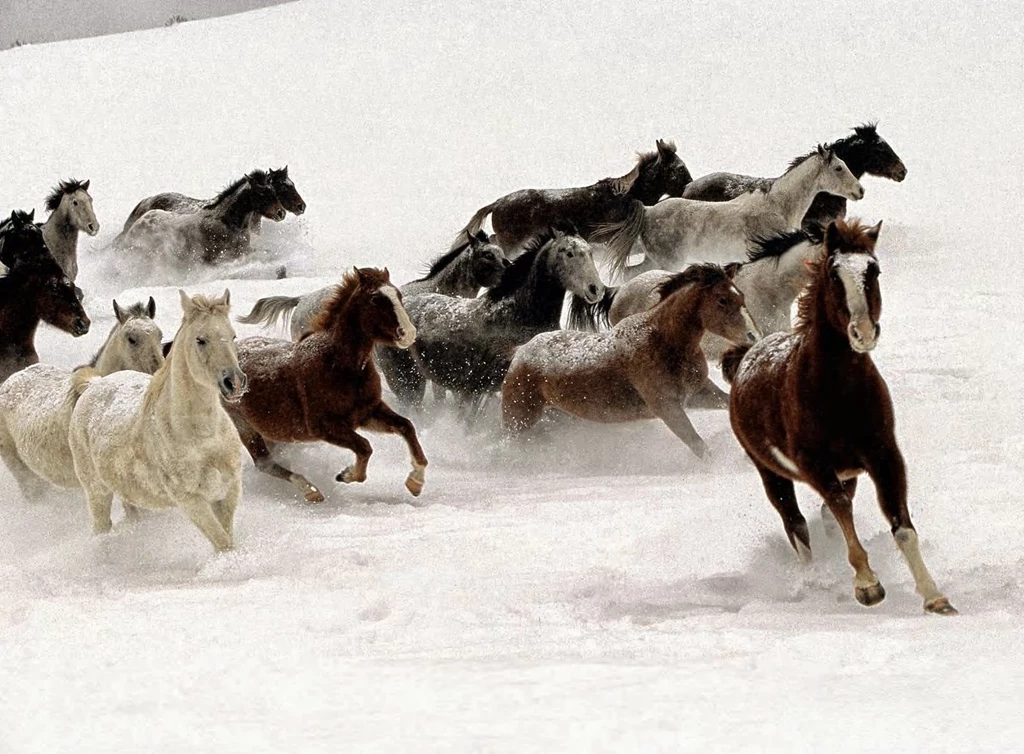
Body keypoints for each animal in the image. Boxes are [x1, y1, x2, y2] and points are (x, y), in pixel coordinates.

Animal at [68, 290, 247, 552]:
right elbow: (223, 544)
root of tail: (94, 384)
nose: (234, 382)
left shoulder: (228, 491)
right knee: (101, 527)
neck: (203, 437)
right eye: (200, 340)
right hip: (97, 491)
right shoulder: (191, 501)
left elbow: (228, 539)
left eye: (232, 335)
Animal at [224, 267, 427, 503]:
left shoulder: (367, 413)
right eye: (376, 299)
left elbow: (406, 426)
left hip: (271, 431)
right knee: (264, 463)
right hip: (244, 425)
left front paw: (415, 482)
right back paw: (310, 490)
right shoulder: (325, 427)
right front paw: (346, 475)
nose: (409, 333)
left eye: (398, 295)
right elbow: (365, 447)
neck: (338, 366)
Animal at [502, 264, 759, 456]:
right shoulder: (667, 407)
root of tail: (520, 352)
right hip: (519, 419)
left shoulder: (699, 393)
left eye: (741, 296)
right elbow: (699, 446)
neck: (664, 340)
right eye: (722, 299)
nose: (753, 336)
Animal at [721, 219, 956, 615]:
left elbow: (901, 524)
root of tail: (744, 356)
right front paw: (868, 586)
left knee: (824, 519)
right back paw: (814, 578)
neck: (839, 392)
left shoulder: (884, 456)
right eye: (833, 275)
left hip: (848, 472)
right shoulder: (814, 464)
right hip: (770, 472)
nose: (863, 333)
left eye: (873, 270)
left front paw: (935, 597)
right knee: (796, 525)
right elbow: (841, 510)